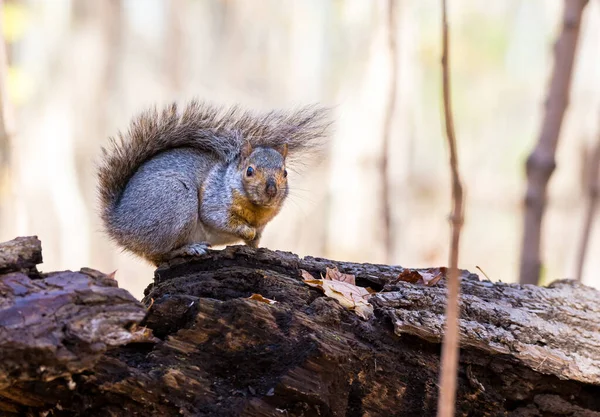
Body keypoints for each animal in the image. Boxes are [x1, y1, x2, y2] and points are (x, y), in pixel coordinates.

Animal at [99, 99, 332, 264]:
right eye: (249, 171)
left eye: (285, 173)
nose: (271, 190)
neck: (255, 209)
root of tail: (118, 223)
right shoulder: (214, 200)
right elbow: (219, 219)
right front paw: (246, 231)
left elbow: (256, 240)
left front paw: (256, 246)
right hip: (175, 202)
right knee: (160, 253)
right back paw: (189, 249)